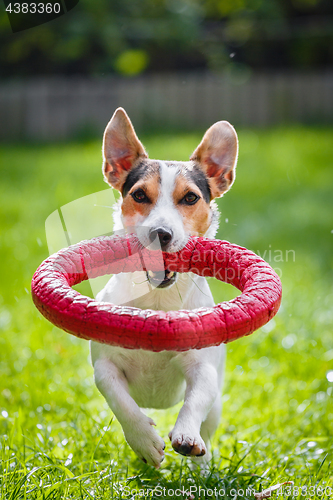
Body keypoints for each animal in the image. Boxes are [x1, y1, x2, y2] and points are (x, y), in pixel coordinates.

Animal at [89, 106, 237, 468]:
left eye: (190, 197)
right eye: (139, 195)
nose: (161, 233)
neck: (158, 302)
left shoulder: (202, 369)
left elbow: (195, 400)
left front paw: (185, 435)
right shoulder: (105, 365)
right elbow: (118, 399)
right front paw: (144, 440)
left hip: (216, 408)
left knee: (207, 427)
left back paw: (203, 466)